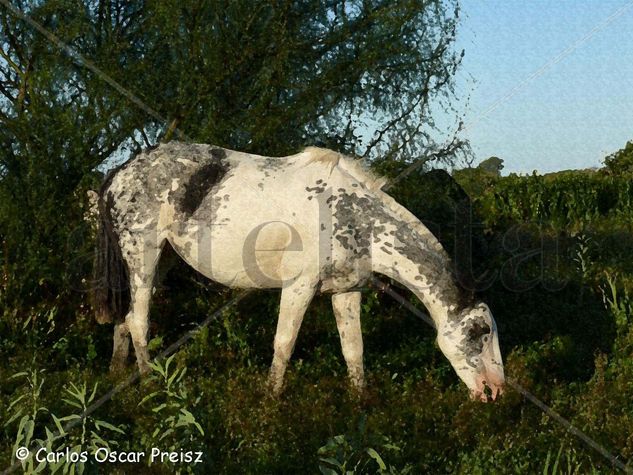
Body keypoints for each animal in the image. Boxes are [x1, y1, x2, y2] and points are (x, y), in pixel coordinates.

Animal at [87, 142, 504, 402]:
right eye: (479, 334)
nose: (496, 390)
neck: (354, 217)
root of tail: (118, 174)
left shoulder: (346, 292)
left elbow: (354, 349)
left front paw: (360, 402)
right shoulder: (299, 288)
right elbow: (284, 344)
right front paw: (272, 400)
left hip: (157, 260)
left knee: (125, 318)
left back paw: (116, 374)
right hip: (142, 255)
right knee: (138, 321)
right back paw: (151, 386)